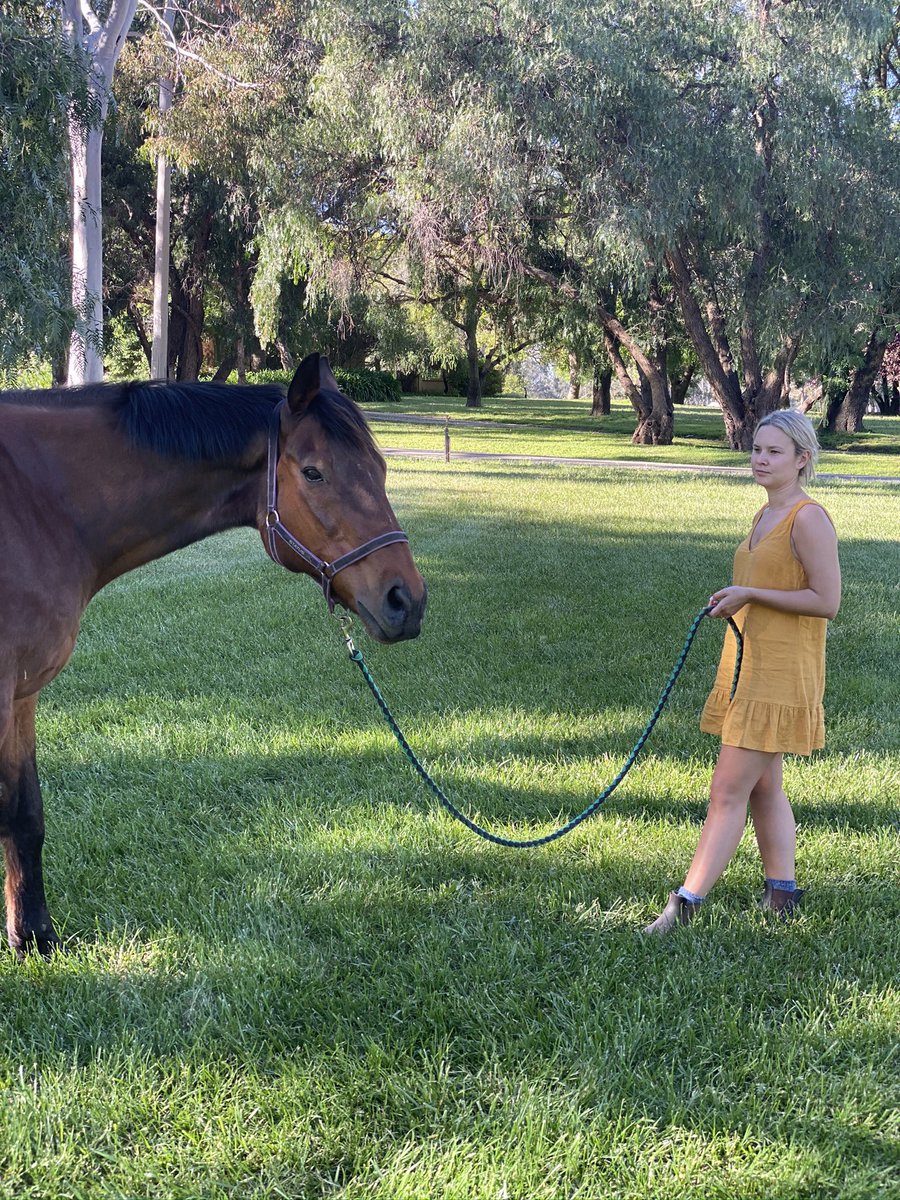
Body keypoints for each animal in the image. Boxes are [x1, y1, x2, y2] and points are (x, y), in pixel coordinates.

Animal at [0, 352, 426, 957]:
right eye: (313, 472)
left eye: (382, 468)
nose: (406, 601)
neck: (35, 505)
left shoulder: (23, 694)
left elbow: (25, 814)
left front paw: (33, 937)